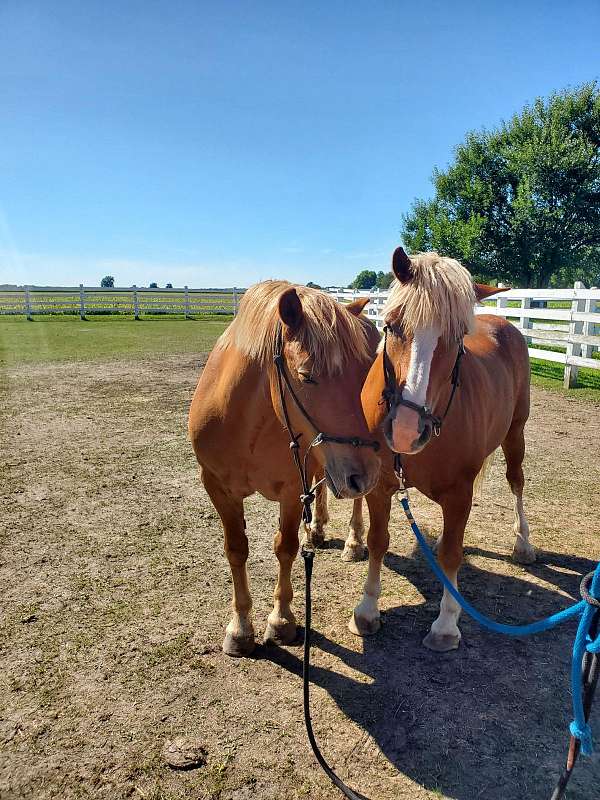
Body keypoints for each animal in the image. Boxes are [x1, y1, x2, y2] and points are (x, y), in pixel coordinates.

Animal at [189, 282, 380, 656]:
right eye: (306, 376)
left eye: (364, 374)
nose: (364, 475)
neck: (245, 425)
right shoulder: (217, 487)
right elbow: (236, 549)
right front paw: (240, 629)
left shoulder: (292, 490)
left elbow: (285, 548)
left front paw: (281, 621)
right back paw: (316, 530)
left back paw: (353, 542)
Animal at [340, 248, 532, 648]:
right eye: (391, 325)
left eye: (458, 337)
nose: (406, 429)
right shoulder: (381, 487)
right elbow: (378, 541)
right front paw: (367, 609)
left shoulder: (459, 492)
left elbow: (451, 556)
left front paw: (446, 624)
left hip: (515, 434)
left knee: (516, 481)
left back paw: (523, 543)